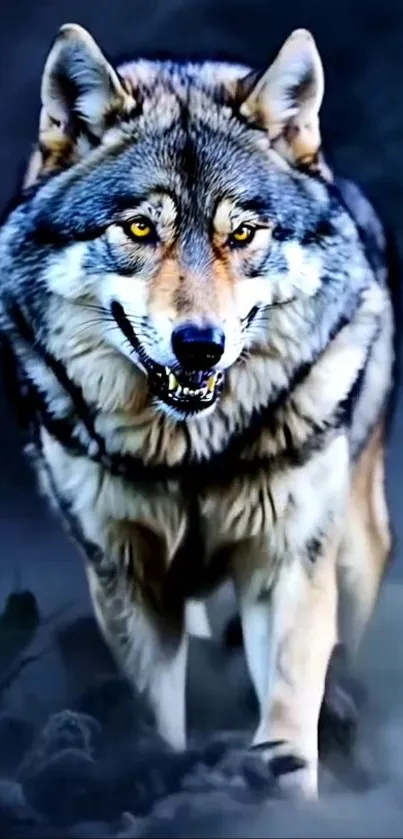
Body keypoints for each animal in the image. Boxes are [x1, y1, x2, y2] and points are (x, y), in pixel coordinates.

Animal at [0, 23, 396, 799]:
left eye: (240, 235)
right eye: (138, 230)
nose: (199, 345)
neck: (189, 454)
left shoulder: (287, 563)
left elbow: (286, 715)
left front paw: (280, 802)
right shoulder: (126, 578)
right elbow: (155, 714)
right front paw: (160, 774)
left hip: (355, 551)